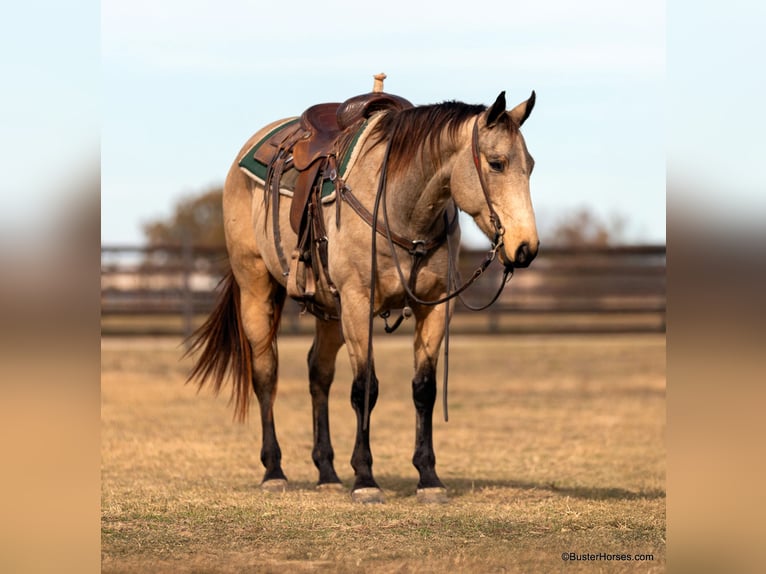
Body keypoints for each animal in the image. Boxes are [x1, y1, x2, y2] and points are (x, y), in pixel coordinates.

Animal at [186, 87, 539, 503]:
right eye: (497, 164)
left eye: (530, 165)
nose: (526, 248)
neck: (401, 207)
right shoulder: (357, 303)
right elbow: (364, 389)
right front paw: (365, 478)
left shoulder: (435, 307)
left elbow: (424, 389)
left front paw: (428, 478)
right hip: (256, 290)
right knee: (266, 374)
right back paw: (274, 470)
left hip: (330, 312)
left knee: (319, 374)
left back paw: (326, 471)